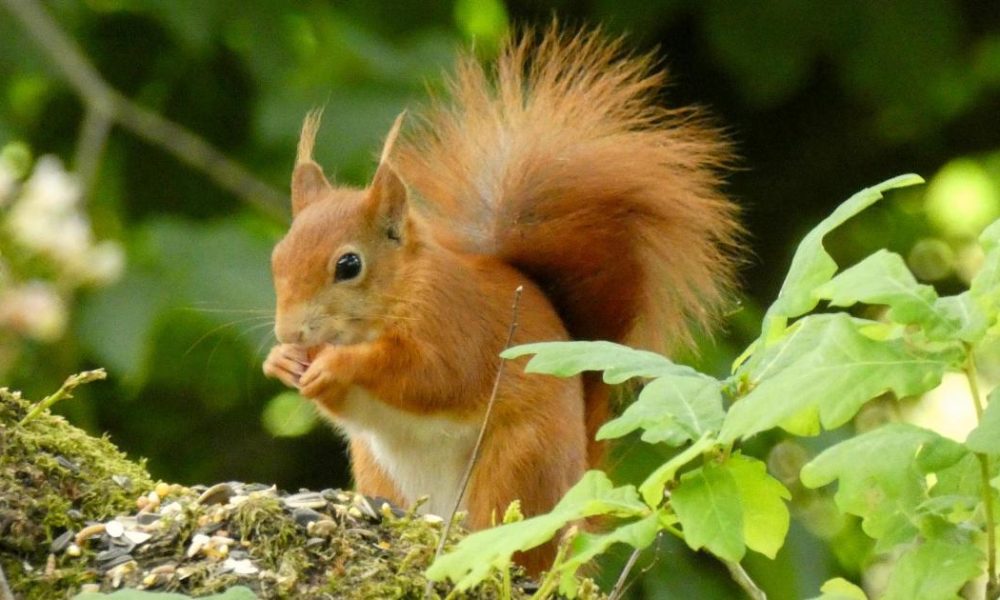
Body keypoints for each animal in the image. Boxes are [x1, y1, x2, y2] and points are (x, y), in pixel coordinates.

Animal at [263, 26, 739, 574]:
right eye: (277, 256)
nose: (289, 332)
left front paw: (337, 365)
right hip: (382, 471)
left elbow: (429, 377)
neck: (400, 292)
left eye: (348, 265)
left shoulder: (453, 324)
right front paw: (282, 362)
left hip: (516, 465)